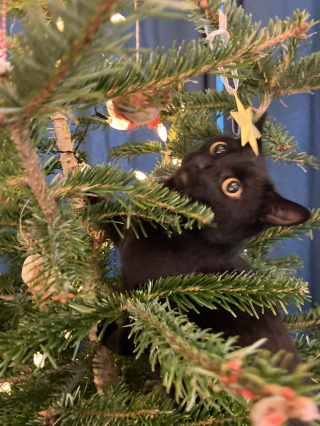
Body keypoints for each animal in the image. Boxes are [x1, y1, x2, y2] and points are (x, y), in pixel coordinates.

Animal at [94, 114, 308, 372]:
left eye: (233, 187)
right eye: (219, 148)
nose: (202, 164)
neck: (181, 234)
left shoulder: (146, 296)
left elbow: (130, 338)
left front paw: (104, 332)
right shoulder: (130, 233)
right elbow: (115, 217)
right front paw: (84, 191)